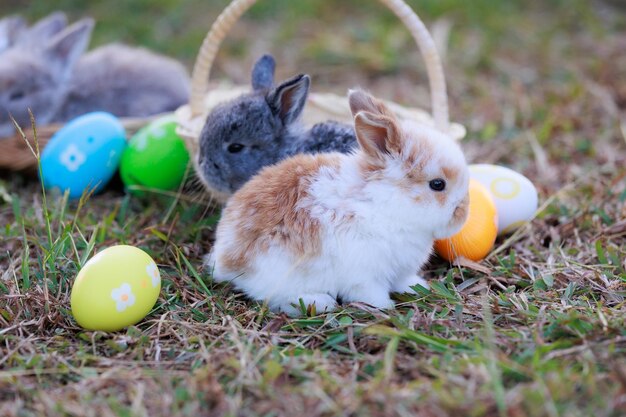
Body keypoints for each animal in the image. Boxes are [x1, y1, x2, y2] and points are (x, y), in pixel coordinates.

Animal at [206, 88, 468, 316]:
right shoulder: (365, 274)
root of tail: (225, 256)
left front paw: (418, 287)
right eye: (438, 184)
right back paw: (320, 302)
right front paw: (385, 308)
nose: (463, 214)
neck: (385, 201)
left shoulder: (399, 270)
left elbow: (403, 280)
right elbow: (370, 292)